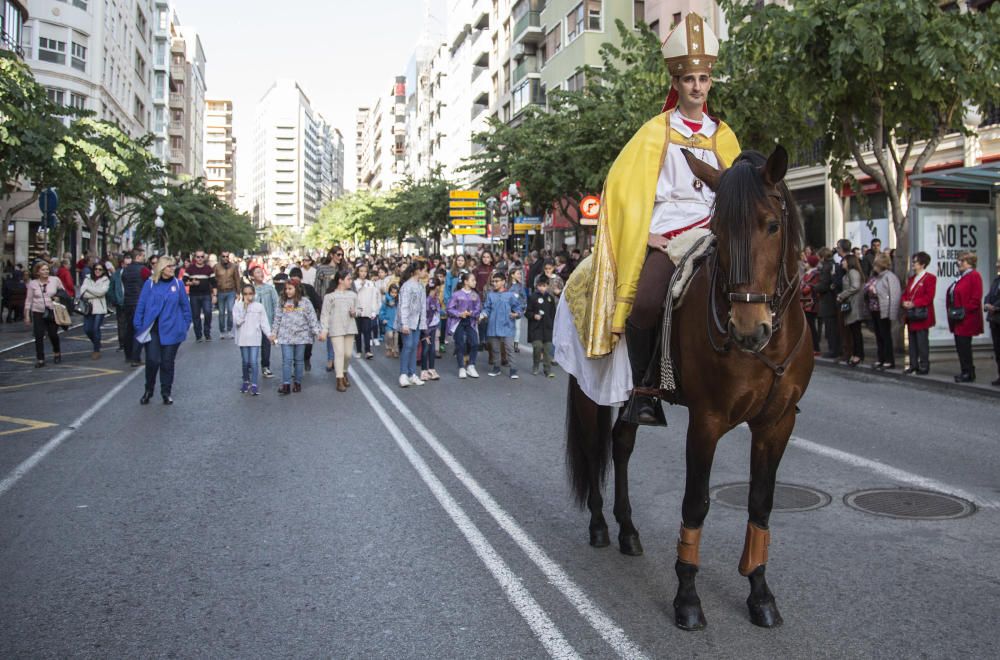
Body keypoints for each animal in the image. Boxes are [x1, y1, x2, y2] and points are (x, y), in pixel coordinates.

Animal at [564, 147, 812, 632]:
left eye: (772, 225)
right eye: (719, 230)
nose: (748, 329)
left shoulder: (776, 423)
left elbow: (761, 503)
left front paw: (760, 594)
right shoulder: (707, 421)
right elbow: (695, 503)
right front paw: (688, 599)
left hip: (630, 396)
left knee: (620, 444)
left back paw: (628, 531)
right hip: (588, 390)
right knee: (592, 445)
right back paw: (600, 526)